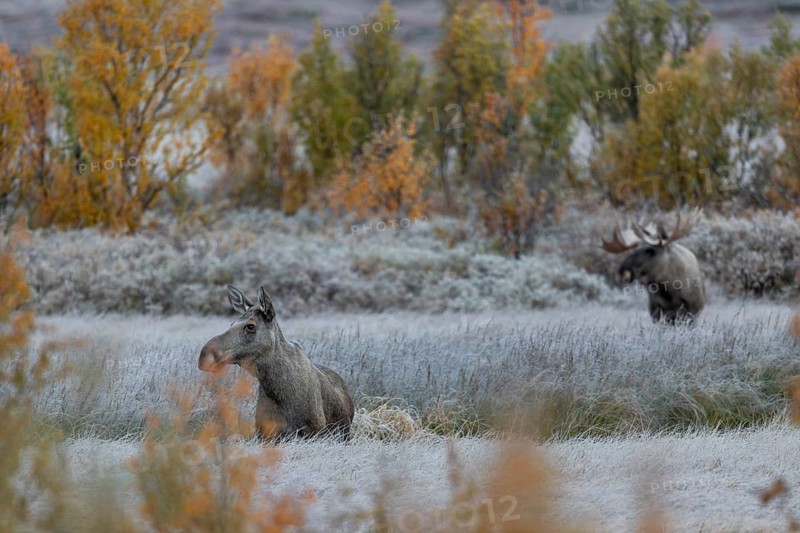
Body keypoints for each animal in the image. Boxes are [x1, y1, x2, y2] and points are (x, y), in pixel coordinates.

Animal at [198, 285, 355, 441]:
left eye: (250, 326)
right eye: (231, 324)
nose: (204, 356)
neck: (279, 392)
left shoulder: (314, 432)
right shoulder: (265, 434)